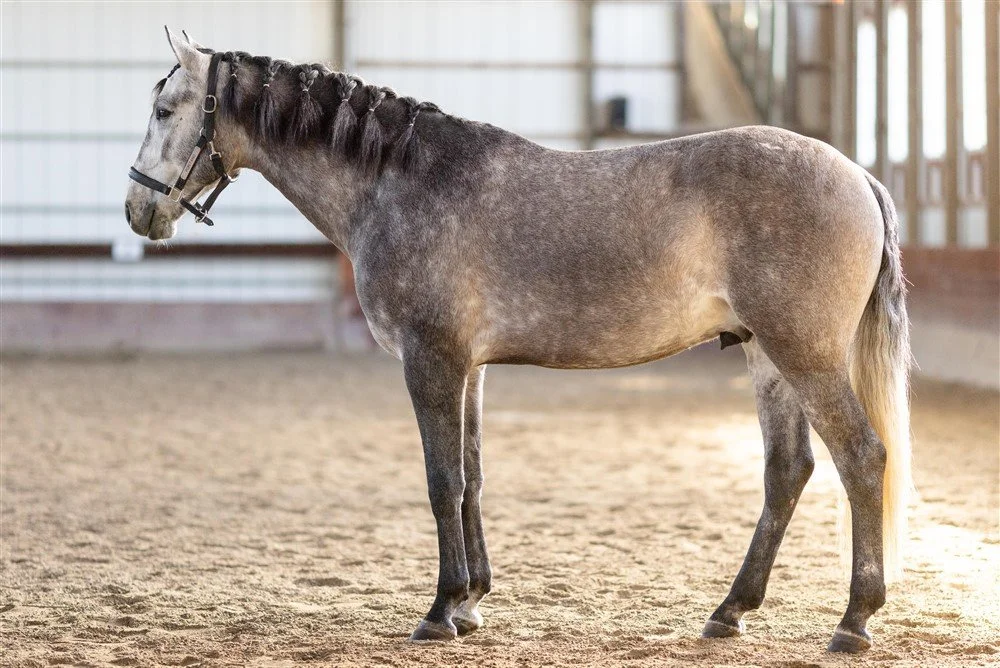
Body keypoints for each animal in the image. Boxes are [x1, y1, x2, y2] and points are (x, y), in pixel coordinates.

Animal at [125, 28, 913, 653]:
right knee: (788, 470)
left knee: (862, 457)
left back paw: (853, 621)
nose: (137, 209)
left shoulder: (431, 361)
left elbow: (442, 481)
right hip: (766, 355)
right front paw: (472, 602)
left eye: (165, 110)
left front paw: (440, 610)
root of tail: (856, 175)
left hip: (803, 354)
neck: (401, 181)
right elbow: (472, 478)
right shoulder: (470, 368)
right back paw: (729, 612)